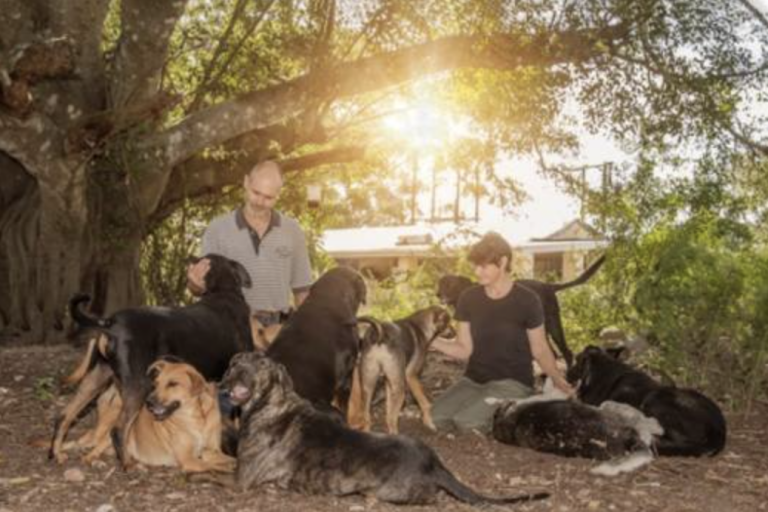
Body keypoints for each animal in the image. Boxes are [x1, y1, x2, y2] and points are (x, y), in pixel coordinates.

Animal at [213, 354, 548, 506]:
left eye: (260, 364)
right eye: (237, 361)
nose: (236, 371)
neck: (272, 403)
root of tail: (434, 463)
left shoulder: (240, 480)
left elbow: (209, 474)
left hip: (386, 491)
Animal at [436, 254, 604, 366]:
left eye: (450, 284)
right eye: (440, 283)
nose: (437, 294)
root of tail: (549, 286)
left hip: (552, 324)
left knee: (566, 353)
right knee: (554, 353)